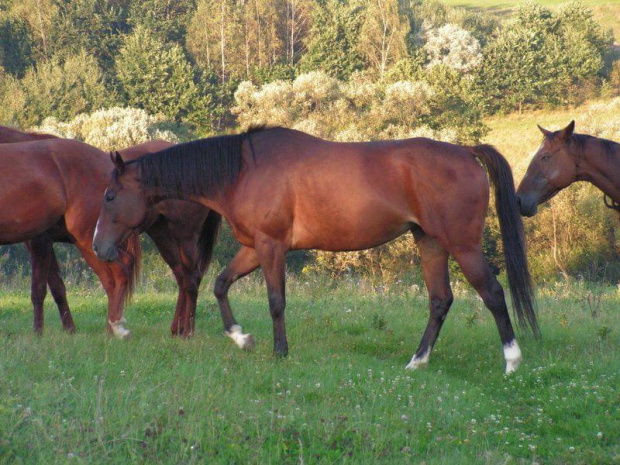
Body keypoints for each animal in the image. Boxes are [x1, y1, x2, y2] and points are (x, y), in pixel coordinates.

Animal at [94, 127, 540, 374]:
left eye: (111, 196)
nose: (99, 246)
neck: (243, 170)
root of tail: (466, 152)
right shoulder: (254, 247)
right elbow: (221, 285)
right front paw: (241, 338)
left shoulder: (271, 247)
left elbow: (276, 301)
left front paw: (279, 351)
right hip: (428, 242)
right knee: (440, 301)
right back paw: (418, 362)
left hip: (461, 245)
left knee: (492, 294)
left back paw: (512, 360)